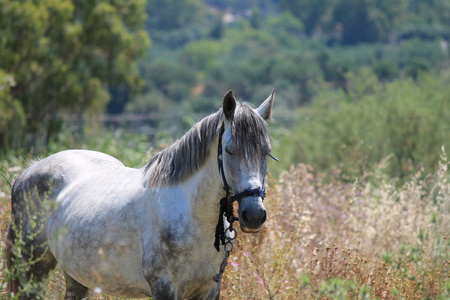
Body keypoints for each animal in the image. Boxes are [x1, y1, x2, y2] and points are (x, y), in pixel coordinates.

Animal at [6, 91, 274, 300]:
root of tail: (27, 171)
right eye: (229, 150)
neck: (190, 217)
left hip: (76, 277)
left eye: (267, 152)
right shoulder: (164, 288)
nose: (254, 215)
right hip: (33, 271)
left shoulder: (209, 289)